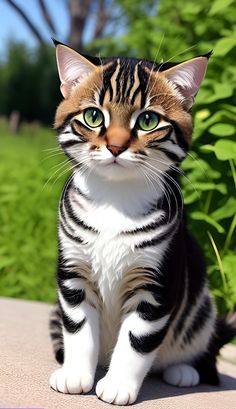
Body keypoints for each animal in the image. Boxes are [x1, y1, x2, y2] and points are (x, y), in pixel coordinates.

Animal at [48, 39, 235, 404]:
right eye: (93, 116)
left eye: (148, 120)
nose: (115, 146)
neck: (114, 200)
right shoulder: (73, 273)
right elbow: (78, 329)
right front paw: (76, 374)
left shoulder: (158, 281)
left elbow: (137, 339)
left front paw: (119, 385)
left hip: (202, 303)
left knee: (203, 348)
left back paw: (185, 370)